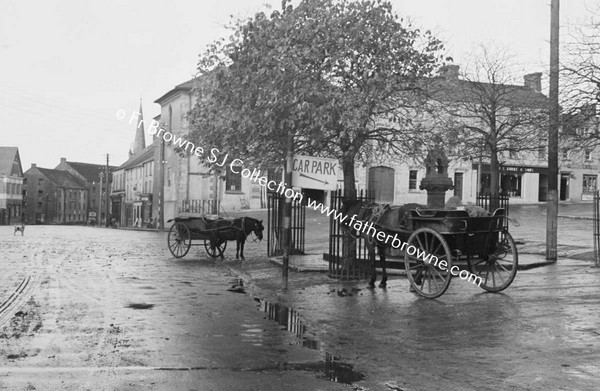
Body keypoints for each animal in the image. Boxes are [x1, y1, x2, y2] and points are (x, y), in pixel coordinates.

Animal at [340, 202, 516, 300]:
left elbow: (373, 261)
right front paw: (383, 281)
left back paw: (416, 282)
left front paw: (373, 281)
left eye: (342, 210)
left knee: (424, 261)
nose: (343, 228)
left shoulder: (371, 243)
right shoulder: (381, 244)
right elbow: (382, 260)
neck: (369, 214)